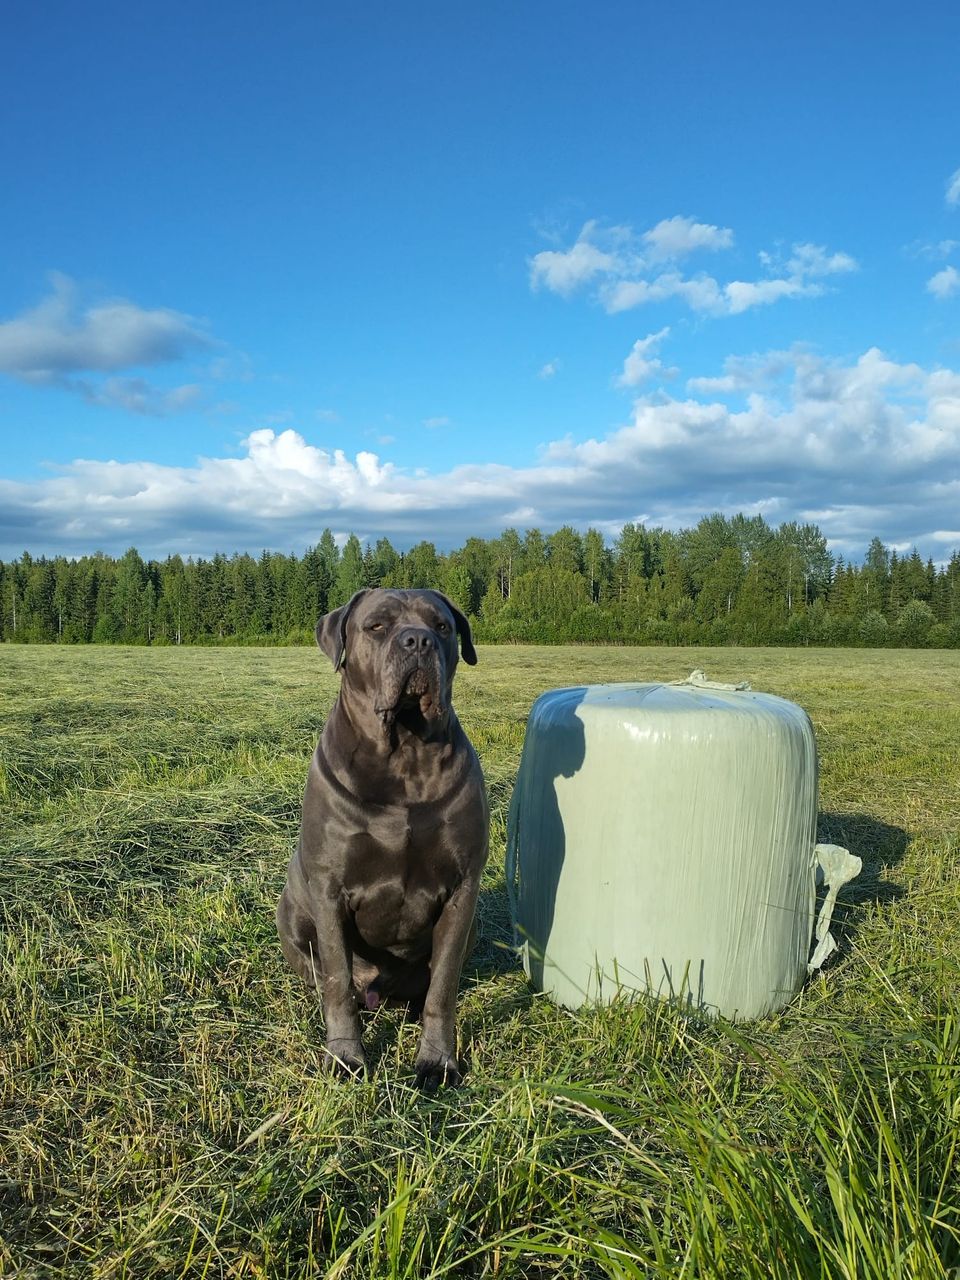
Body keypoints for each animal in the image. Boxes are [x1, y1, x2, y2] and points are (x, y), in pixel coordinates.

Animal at [276, 586, 488, 1080]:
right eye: (376, 626)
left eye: (442, 627)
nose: (418, 641)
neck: (404, 753)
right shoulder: (329, 890)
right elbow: (337, 980)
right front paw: (345, 1057)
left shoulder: (462, 890)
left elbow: (443, 987)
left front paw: (437, 1061)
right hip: (290, 914)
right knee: (324, 976)